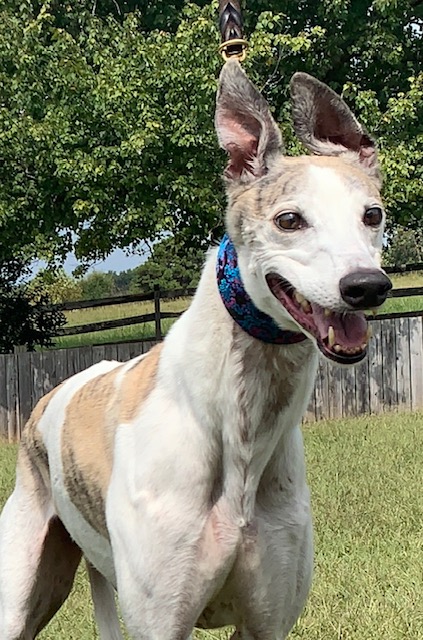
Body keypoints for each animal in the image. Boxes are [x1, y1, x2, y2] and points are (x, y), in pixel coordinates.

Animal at [0, 60, 391, 640]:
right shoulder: (161, 621)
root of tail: (47, 402)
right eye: (289, 220)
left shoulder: (266, 622)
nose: (367, 286)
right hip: (21, 588)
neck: (240, 428)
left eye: (373, 214)